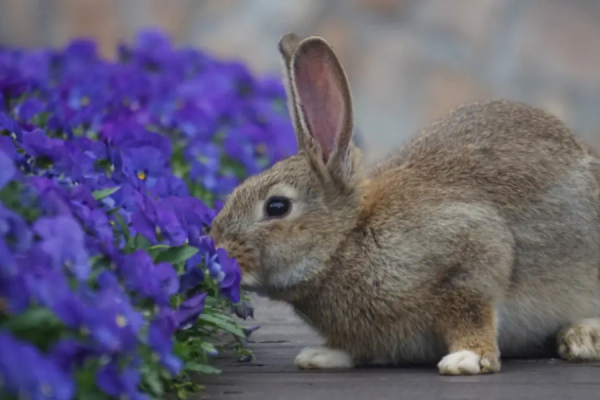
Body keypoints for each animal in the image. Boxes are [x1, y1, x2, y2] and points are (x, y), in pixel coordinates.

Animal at [209, 33, 600, 376]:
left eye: (276, 207)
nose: (217, 248)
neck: (346, 240)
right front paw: (320, 356)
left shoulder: (472, 254)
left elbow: (473, 314)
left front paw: (467, 360)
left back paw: (581, 337)